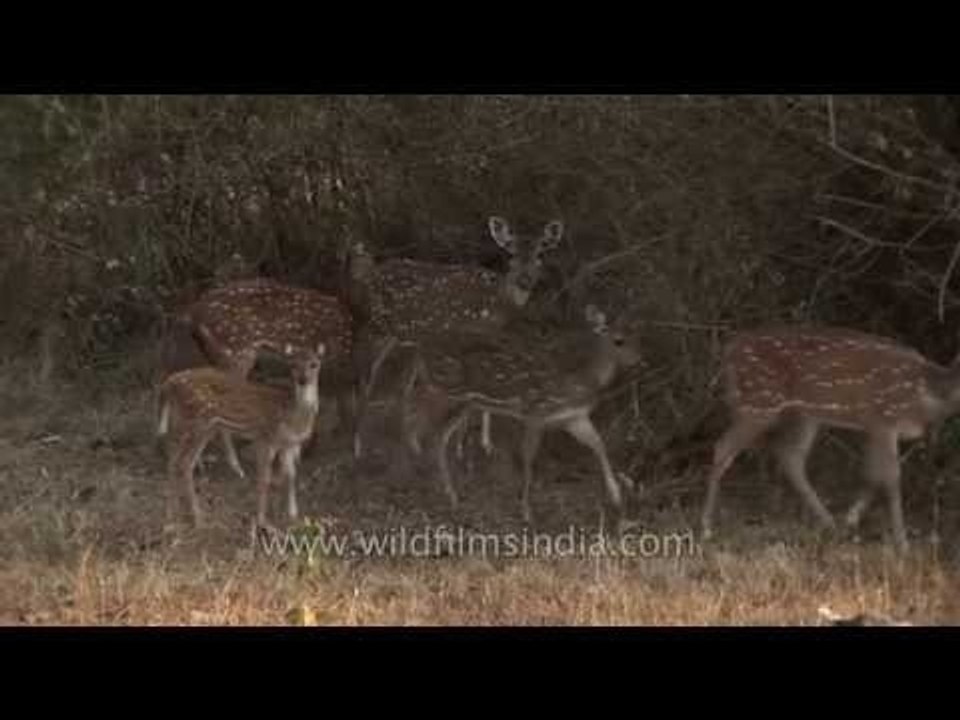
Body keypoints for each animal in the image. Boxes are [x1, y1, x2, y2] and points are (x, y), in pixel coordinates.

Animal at [157, 342, 325, 528]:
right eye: (293, 365)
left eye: (314, 364)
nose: (302, 380)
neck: (292, 416)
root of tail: (169, 384)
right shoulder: (265, 438)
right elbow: (264, 479)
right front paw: (261, 520)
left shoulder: (291, 444)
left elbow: (291, 476)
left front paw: (293, 516)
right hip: (197, 422)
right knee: (185, 463)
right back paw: (198, 518)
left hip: (190, 424)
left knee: (173, 458)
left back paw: (171, 513)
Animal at [346, 216, 564, 463]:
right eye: (510, 253)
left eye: (541, 253)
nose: (525, 281)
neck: (495, 306)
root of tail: (369, 275)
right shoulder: (462, 337)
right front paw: (461, 448)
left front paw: (486, 446)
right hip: (379, 326)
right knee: (367, 377)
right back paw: (359, 447)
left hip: (406, 336)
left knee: (399, 385)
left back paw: (410, 445)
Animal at [404, 305, 642, 522]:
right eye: (619, 340)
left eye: (635, 335)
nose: (640, 360)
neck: (582, 382)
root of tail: (421, 349)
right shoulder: (535, 413)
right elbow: (529, 458)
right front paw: (527, 511)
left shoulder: (574, 417)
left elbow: (599, 444)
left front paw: (616, 496)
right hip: (450, 394)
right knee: (434, 433)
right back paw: (448, 491)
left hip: (456, 398)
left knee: (427, 423)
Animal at [701, 325, 960, 551]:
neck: (926, 395)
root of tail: (728, 352)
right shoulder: (882, 420)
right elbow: (891, 477)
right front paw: (902, 543)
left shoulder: (871, 428)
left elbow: (872, 474)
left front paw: (850, 520)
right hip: (758, 403)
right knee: (723, 448)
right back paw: (706, 526)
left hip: (805, 416)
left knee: (790, 458)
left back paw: (830, 523)